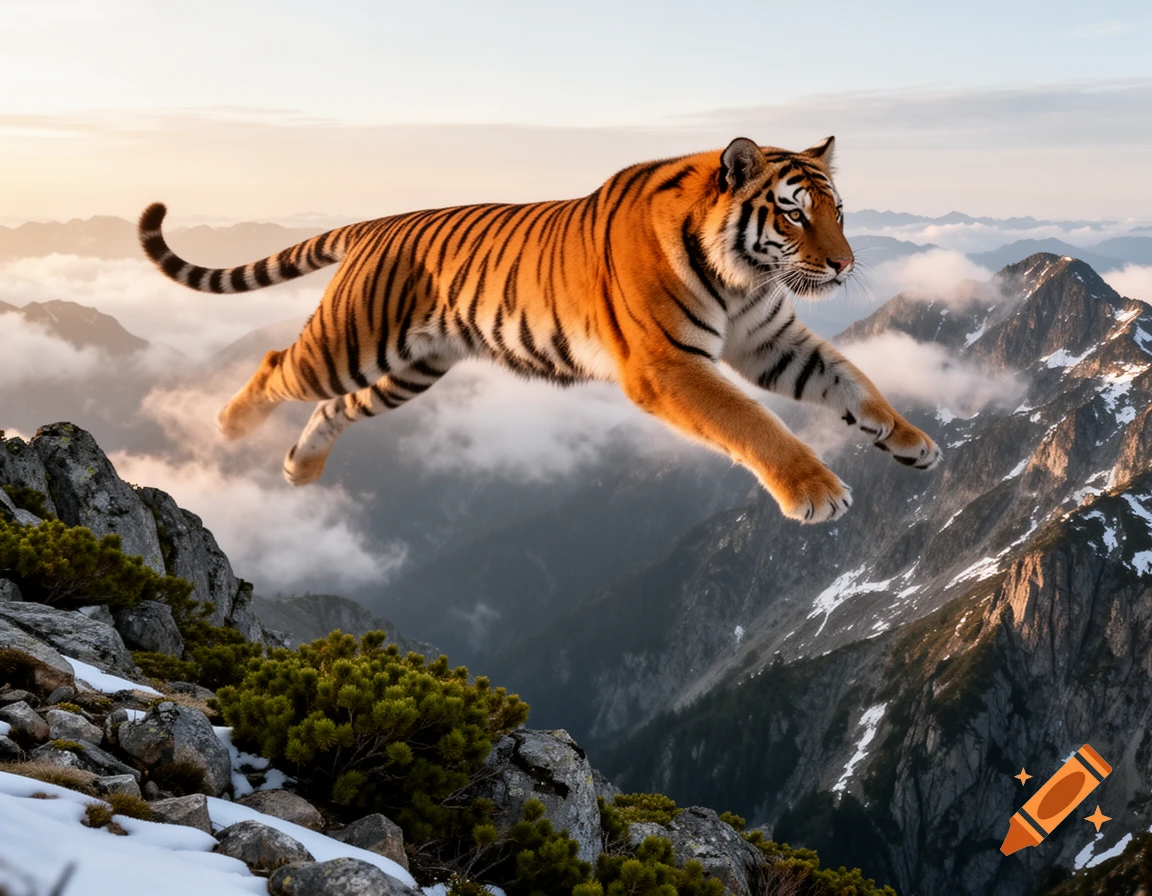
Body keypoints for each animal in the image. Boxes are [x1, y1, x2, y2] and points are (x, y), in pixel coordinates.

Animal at [139, 136, 940, 524]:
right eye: (795, 213)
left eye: (838, 210)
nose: (844, 264)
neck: (744, 277)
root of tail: (377, 222)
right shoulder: (669, 366)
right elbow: (754, 424)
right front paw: (816, 491)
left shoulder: (772, 342)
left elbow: (854, 383)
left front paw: (913, 442)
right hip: (351, 341)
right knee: (278, 362)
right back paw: (229, 426)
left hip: (409, 369)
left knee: (337, 407)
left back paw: (299, 469)